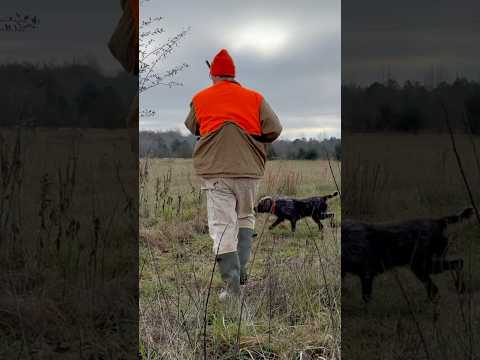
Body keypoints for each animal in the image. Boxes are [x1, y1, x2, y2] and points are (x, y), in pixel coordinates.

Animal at [342, 207, 472, 302]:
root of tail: (438, 221)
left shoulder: (366, 274)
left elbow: (366, 298)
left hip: (424, 266)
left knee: (456, 265)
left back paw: (459, 287)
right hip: (423, 267)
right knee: (439, 284)